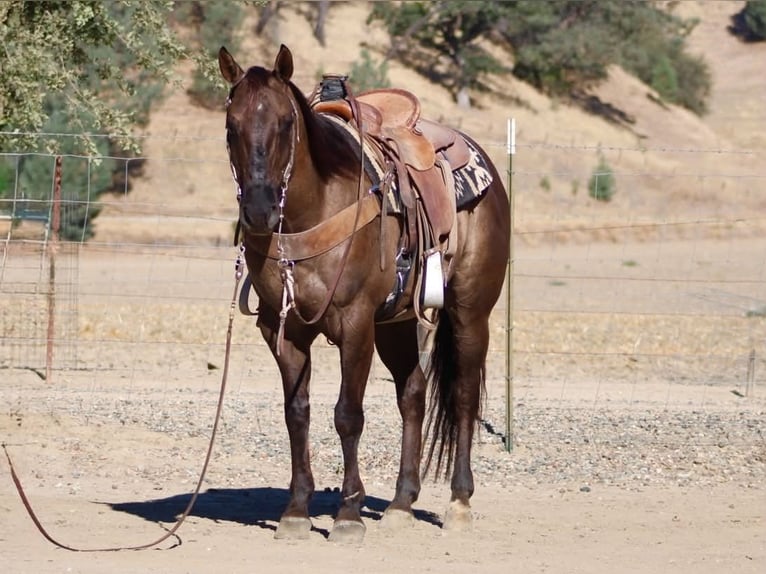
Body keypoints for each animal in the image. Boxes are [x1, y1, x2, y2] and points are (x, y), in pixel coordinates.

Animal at [218, 44, 510, 543]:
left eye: (285, 123)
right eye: (231, 125)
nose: (258, 210)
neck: (315, 207)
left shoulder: (354, 324)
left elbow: (347, 414)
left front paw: (349, 514)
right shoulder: (283, 329)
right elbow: (297, 413)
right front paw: (296, 511)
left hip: (470, 313)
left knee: (464, 396)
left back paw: (459, 502)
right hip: (396, 322)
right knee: (413, 393)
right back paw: (401, 503)